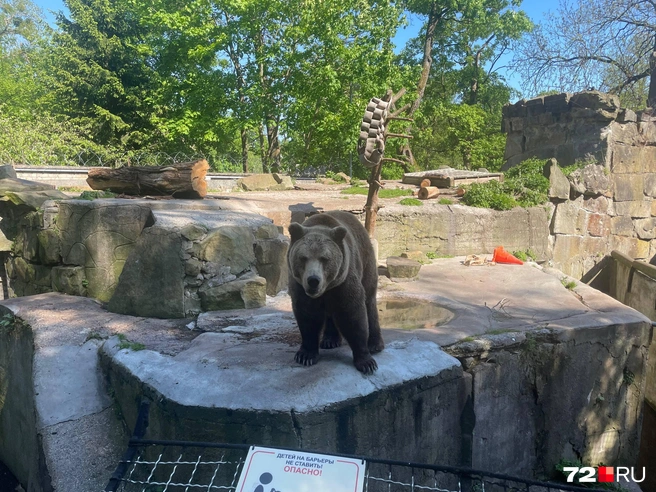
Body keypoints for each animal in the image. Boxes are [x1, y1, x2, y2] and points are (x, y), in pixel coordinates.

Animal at [287, 210, 384, 374]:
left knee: (369, 300)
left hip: (366, 260)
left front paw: (366, 362)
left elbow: (353, 315)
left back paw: (375, 344)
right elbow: (307, 317)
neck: (327, 288)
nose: (313, 280)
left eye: (325, 258)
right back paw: (329, 340)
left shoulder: (344, 281)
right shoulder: (300, 287)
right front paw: (305, 355)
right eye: (303, 258)